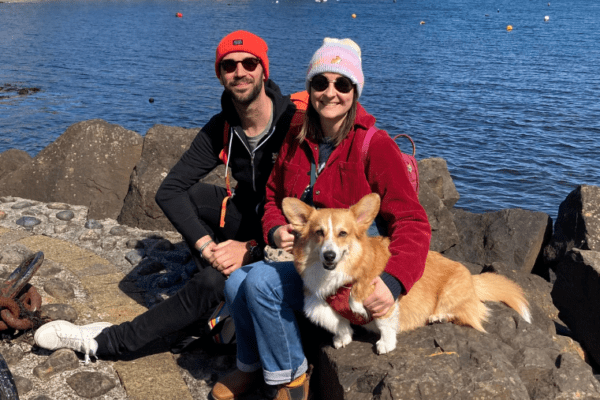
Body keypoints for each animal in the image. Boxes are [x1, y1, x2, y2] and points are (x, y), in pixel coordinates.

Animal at [282, 193, 528, 354]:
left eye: (343, 233)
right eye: (319, 233)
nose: (329, 255)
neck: (341, 274)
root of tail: (473, 279)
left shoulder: (383, 298)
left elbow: (382, 322)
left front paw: (386, 344)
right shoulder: (319, 303)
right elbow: (338, 322)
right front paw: (342, 338)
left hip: (450, 293)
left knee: (466, 313)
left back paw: (438, 316)